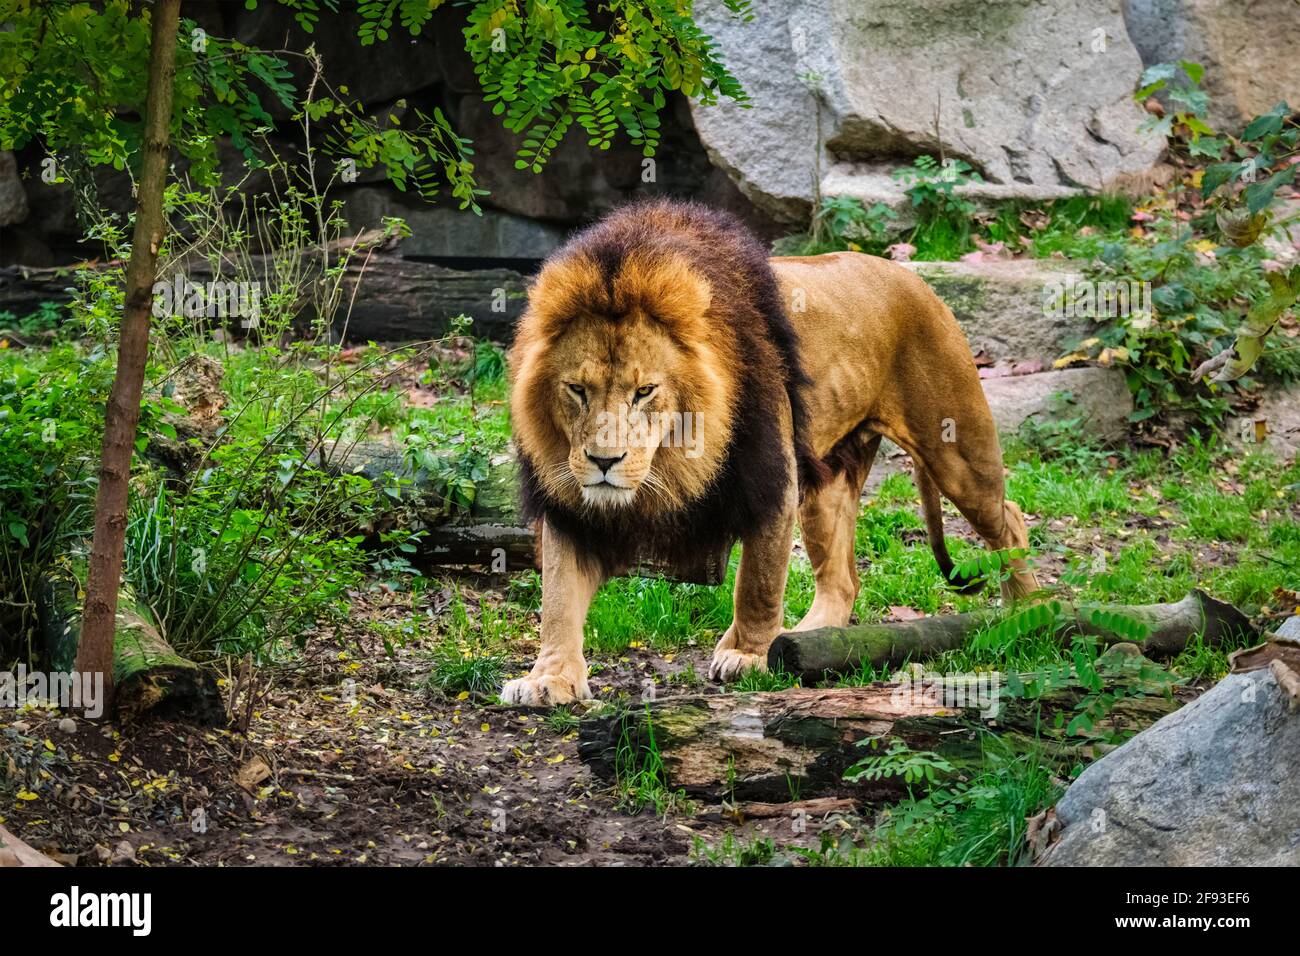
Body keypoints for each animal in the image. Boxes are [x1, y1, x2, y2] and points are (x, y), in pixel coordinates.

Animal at [503, 198, 1038, 706]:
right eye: (577, 390)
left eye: (645, 392)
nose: (603, 462)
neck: (673, 465)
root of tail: (911, 275)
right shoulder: (570, 506)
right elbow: (558, 598)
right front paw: (549, 679)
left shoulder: (772, 481)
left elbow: (757, 584)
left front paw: (748, 656)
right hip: (827, 486)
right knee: (842, 579)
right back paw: (812, 641)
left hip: (956, 447)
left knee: (1009, 519)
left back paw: (1030, 612)